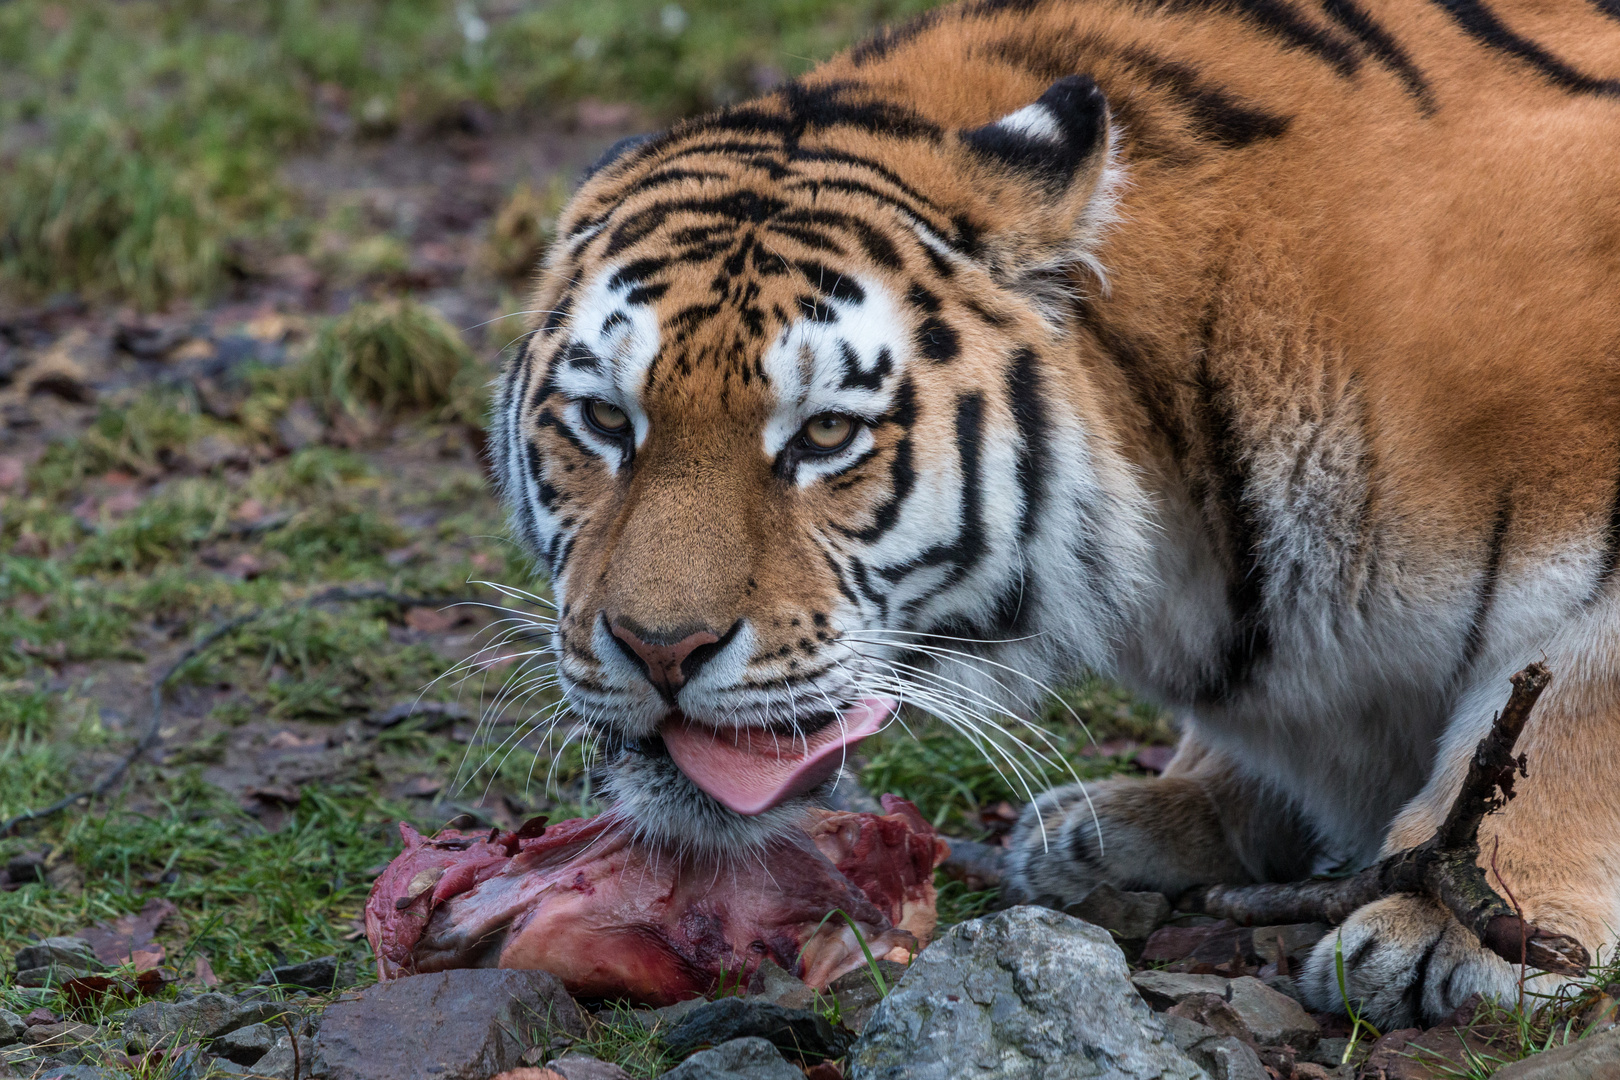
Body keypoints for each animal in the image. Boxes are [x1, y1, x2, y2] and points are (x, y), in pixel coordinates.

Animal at [489, 0, 1620, 1036]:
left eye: (823, 434)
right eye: (605, 419)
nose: (657, 649)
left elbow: (1565, 704)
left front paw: (1457, 925)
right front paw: (1157, 814)